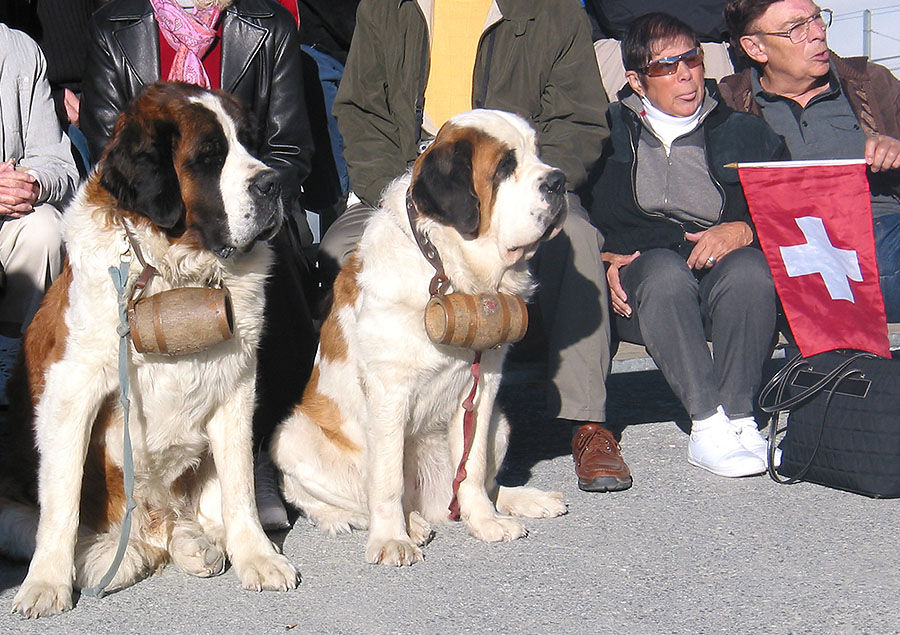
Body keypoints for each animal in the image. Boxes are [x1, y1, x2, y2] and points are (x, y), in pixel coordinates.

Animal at [0, 82, 302, 620]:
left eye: (251, 143)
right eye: (209, 157)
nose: (271, 184)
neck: (172, 271)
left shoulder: (237, 387)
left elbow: (241, 486)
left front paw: (259, 558)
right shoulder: (69, 391)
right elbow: (61, 502)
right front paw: (46, 584)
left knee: (196, 517)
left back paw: (196, 544)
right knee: (88, 535)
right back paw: (108, 559)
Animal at [272, 109, 568, 568]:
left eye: (538, 153)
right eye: (505, 167)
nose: (558, 180)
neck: (446, 267)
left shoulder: (484, 385)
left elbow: (473, 464)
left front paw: (485, 521)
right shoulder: (388, 390)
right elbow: (387, 478)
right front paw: (391, 539)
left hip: (500, 423)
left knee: (482, 480)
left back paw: (521, 500)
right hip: (291, 436)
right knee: (335, 498)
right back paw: (387, 522)